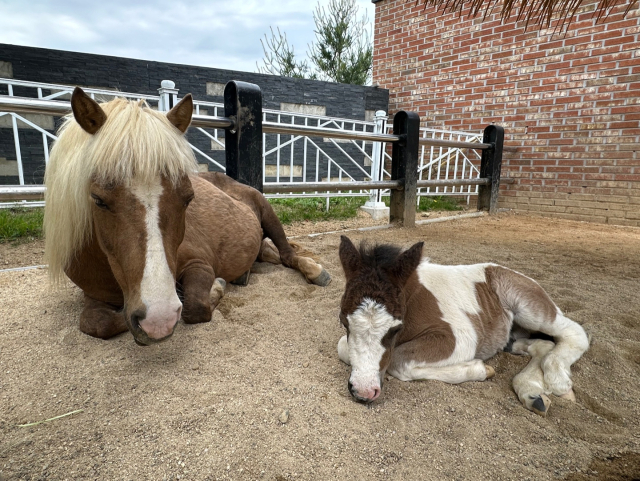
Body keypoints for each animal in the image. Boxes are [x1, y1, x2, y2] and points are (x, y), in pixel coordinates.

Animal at [46, 88, 330, 344]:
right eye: (98, 200)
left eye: (188, 198)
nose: (158, 319)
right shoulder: (93, 295)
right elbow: (98, 323)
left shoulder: (197, 263)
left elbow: (194, 307)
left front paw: (217, 287)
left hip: (267, 212)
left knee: (287, 254)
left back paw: (315, 271)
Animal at [338, 234, 588, 414]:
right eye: (343, 321)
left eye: (395, 329)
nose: (363, 392)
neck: (413, 298)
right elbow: (343, 347)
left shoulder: (459, 337)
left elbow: (399, 361)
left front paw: (480, 369)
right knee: (542, 344)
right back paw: (532, 392)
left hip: (529, 309)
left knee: (575, 332)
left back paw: (558, 380)